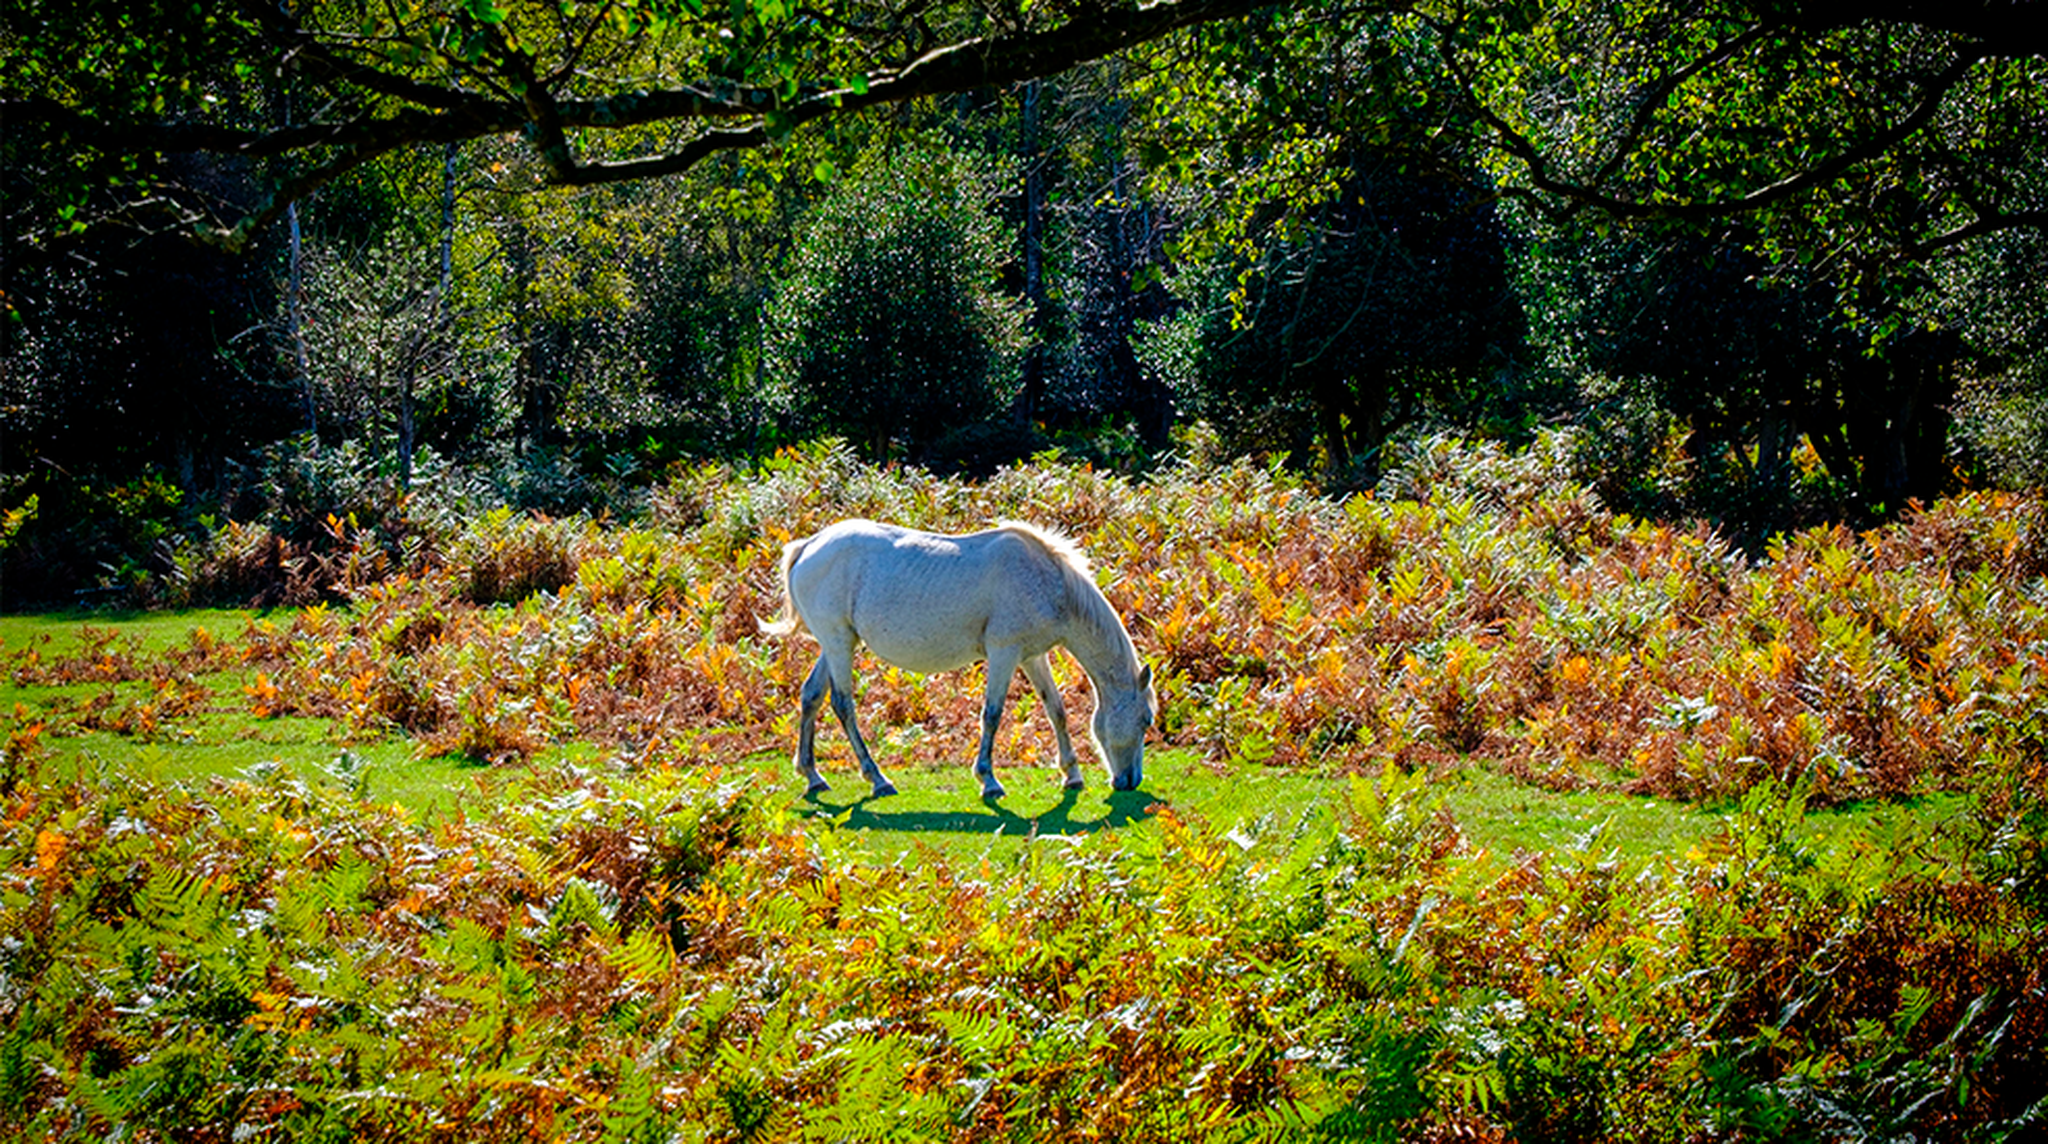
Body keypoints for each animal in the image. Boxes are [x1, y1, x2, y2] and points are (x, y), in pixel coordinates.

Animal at [763, 519, 1156, 799]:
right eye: (1147, 719)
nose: (1131, 780)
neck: (1048, 580)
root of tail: (808, 546)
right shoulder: (1003, 653)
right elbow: (992, 714)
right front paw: (989, 781)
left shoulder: (1032, 656)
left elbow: (1055, 709)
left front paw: (1071, 775)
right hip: (838, 643)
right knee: (843, 705)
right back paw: (877, 779)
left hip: (835, 645)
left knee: (811, 696)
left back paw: (813, 776)